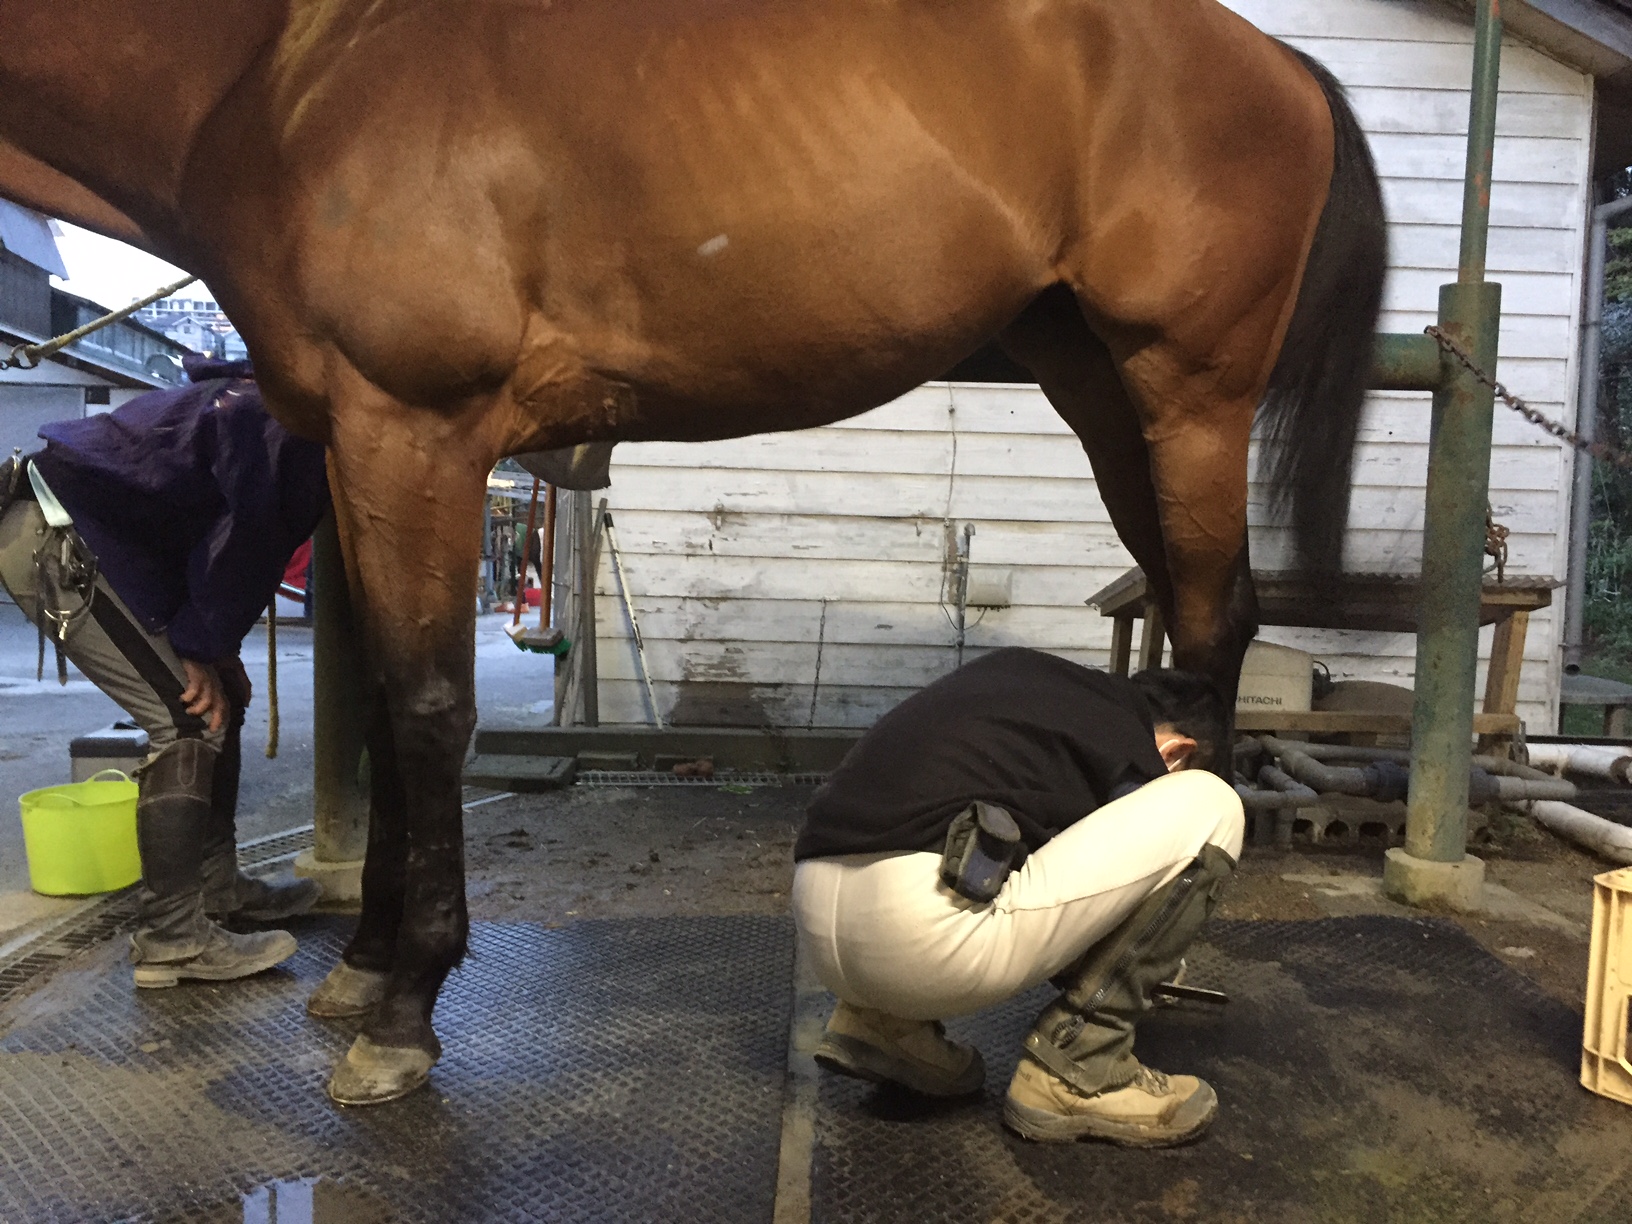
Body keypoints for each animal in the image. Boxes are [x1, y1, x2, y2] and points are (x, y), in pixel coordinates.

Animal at [0, 0, 1384, 1104]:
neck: (277, 70)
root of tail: (1275, 59)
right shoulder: (356, 447)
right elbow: (397, 711)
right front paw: (368, 968)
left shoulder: (414, 430)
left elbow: (428, 712)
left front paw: (401, 1013)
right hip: (1095, 378)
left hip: (1189, 390)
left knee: (1211, 621)